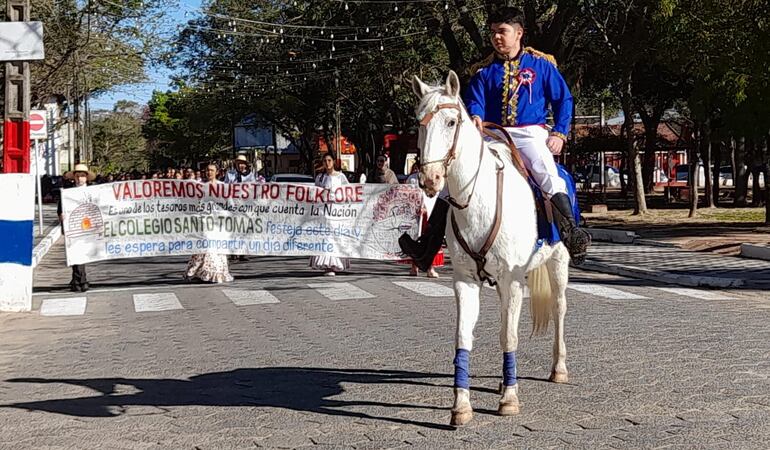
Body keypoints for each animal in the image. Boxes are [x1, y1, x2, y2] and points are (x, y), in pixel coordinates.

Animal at [414, 71, 568, 426]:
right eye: (419, 121)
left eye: (451, 122)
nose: (430, 179)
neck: (477, 201)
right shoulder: (465, 281)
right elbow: (463, 338)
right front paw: (461, 405)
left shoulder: (512, 279)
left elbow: (508, 336)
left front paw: (510, 399)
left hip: (558, 263)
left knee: (558, 308)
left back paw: (558, 368)